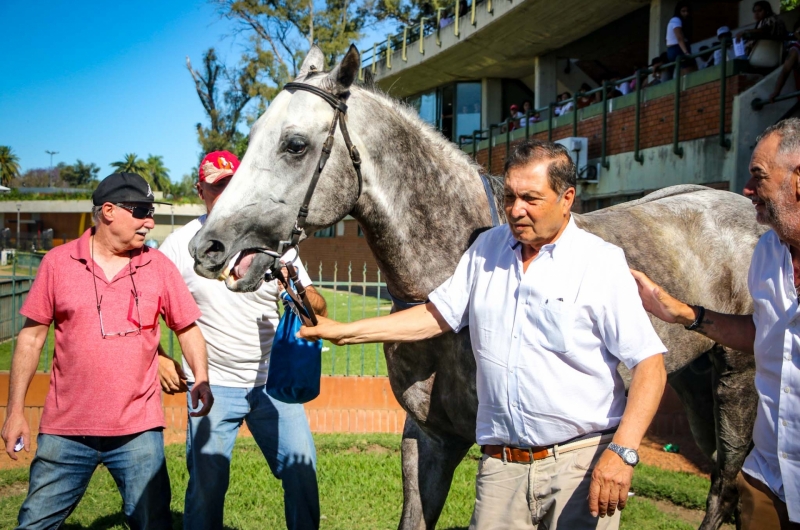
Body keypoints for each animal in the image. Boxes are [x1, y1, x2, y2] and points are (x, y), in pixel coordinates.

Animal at [191, 46, 764, 528]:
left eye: (295, 144)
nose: (207, 247)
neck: (451, 272)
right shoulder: (429, 436)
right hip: (691, 381)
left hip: (737, 379)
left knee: (724, 481)